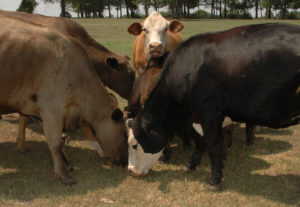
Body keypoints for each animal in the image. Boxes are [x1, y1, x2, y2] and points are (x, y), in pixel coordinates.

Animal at [0, 16, 127, 184]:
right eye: (124, 134)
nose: (126, 161)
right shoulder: (51, 110)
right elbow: (55, 143)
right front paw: (63, 173)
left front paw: (66, 163)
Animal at [126, 23, 300, 191]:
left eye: (134, 145)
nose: (131, 170)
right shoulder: (198, 117)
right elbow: (201, 142)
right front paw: (192, 164)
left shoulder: (210, 114)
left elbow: (213, 145)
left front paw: (215, 181)